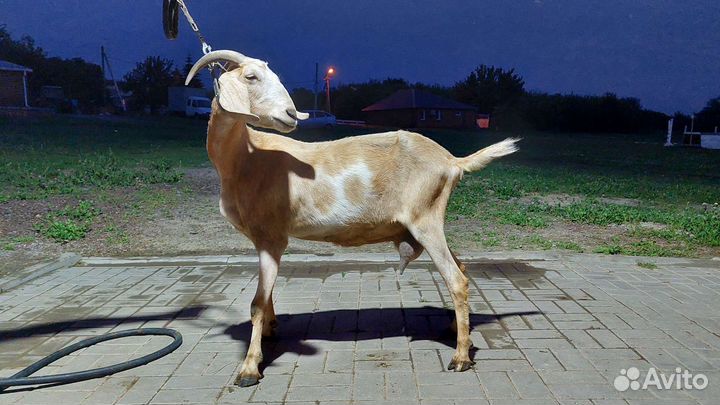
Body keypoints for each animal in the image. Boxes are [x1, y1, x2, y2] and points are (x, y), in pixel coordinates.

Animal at [186, 50, 519, 387]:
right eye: (251, 77)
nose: (291, 114)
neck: (247, 156)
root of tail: (452, 161)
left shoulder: (272, 236)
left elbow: (256, 303)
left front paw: (249, 367)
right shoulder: (263, 239)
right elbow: (265, 297)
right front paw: (269, 330)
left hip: (426, 220)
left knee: (456, 279)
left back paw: (461, 356)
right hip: (429, 221)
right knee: (462, 269)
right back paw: (458, 330)